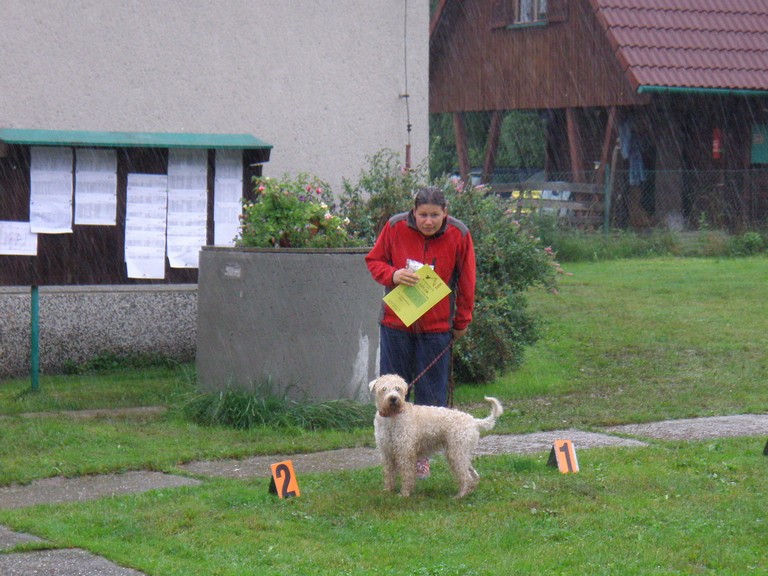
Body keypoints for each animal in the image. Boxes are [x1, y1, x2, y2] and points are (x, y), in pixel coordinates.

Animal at [368, 372, 500, 498]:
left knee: (466, 476)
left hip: (456, 453)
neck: (391, 417)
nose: (393, 398)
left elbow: (406, 474)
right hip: (461, 453)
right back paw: (469, 492)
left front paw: (405, 494)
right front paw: (388, 490)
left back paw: (460, 496)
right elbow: (388, 473)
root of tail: (473, 421)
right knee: (472, 474)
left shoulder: (405, 452)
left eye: (398, 388)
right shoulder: (386, 452)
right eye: (384, 389)